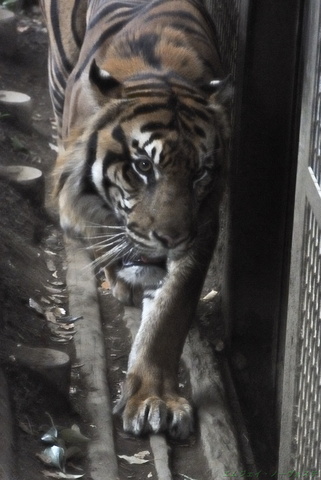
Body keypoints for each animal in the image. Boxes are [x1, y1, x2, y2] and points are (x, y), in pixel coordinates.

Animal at [40, 0, 230, 438]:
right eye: (143, 166)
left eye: (199, 173)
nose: (170, 238)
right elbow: (101, 230)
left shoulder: (202, 225)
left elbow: (168, 315)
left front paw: (153, 400)